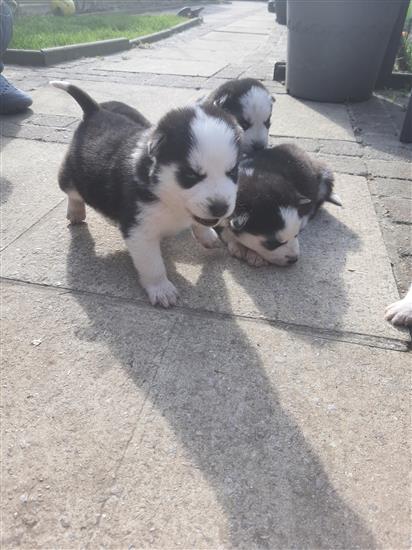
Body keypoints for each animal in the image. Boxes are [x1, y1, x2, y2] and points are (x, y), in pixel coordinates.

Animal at [50, 82, 241, 308]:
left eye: (232, 172)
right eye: (190, 175)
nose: (220, 208)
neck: (167, 196)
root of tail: (94, 110)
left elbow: (200, 222)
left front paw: (207, 235)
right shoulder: (139, 230)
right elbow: (153, 264)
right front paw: (161, 289)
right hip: (70, 176)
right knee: (73, 193)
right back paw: (76, 212)